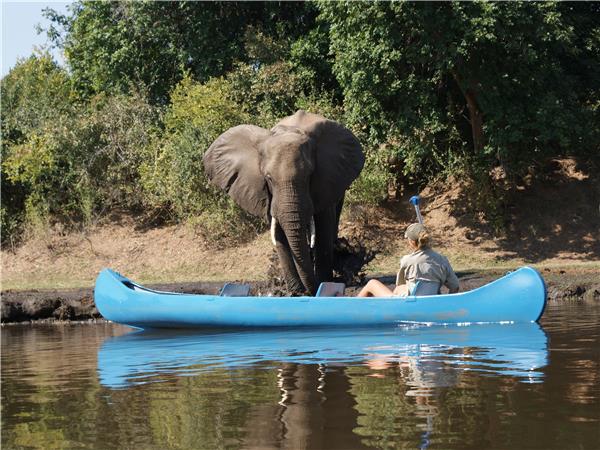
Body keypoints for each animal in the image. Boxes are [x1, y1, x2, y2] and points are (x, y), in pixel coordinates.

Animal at [203, 108, 366, 292]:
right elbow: (279, 233)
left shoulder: (325, 181)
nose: (308, 289)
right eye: (268, 178)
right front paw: (296, 292)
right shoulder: (269, 196)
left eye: (309, 175)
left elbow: (323, 228)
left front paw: (323, 283)